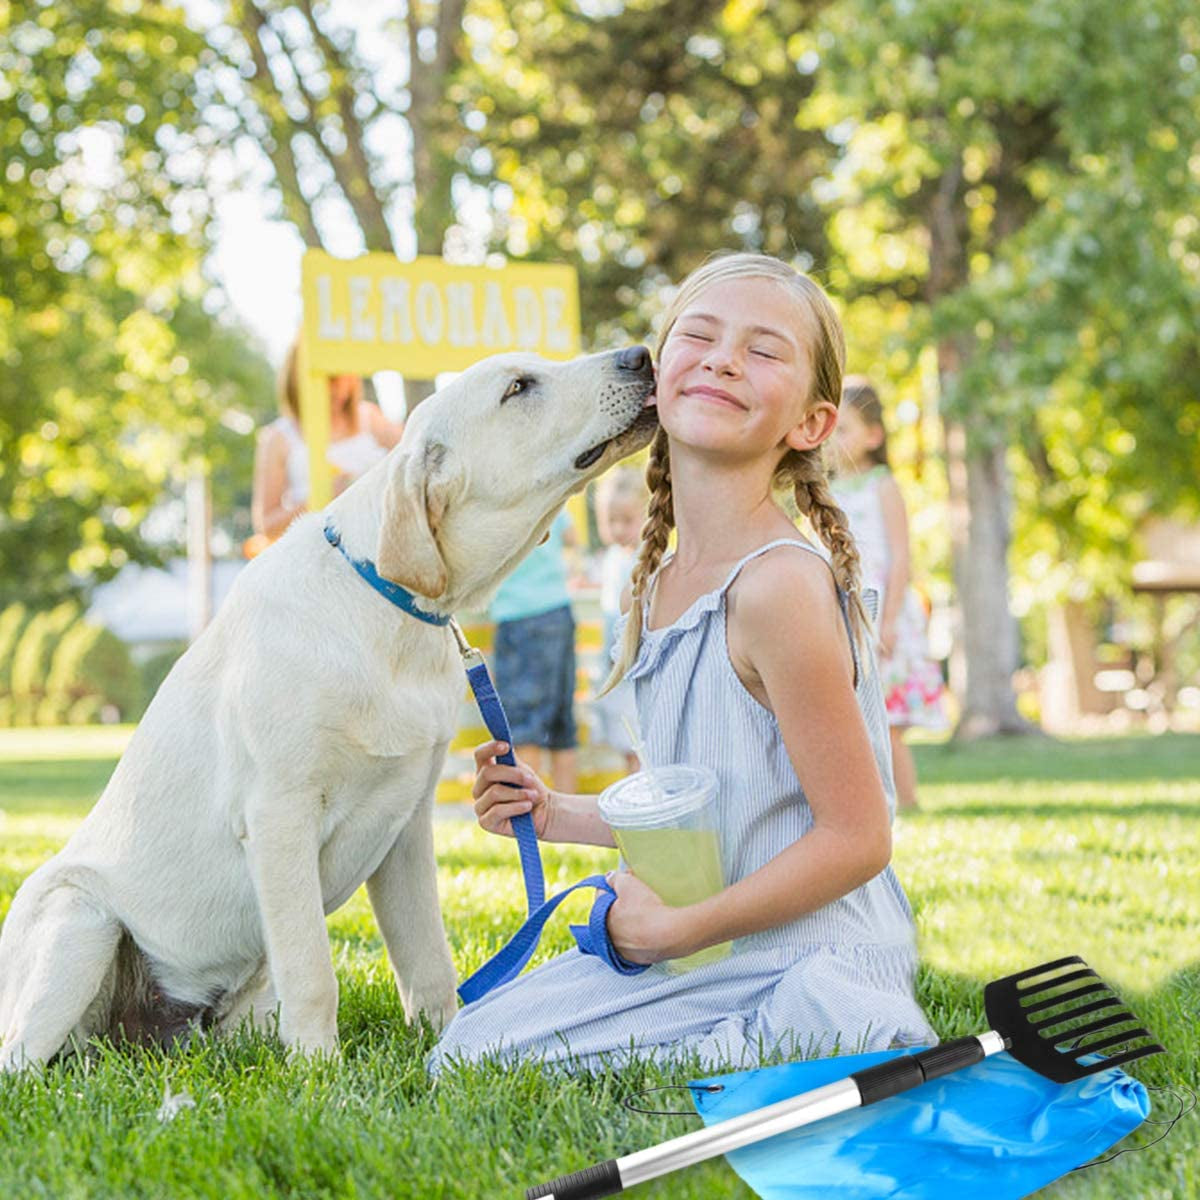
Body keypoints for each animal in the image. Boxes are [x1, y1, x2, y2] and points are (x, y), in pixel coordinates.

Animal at [0, 345, 657, 1070]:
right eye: (519, 388)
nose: (640, 354)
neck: (388, 610)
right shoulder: (279, 816)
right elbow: (314, 968)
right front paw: (319, 1069)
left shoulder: (407, 827)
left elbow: (428, 957)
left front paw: (444, 1039)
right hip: (79, 920)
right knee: (23, 1059)